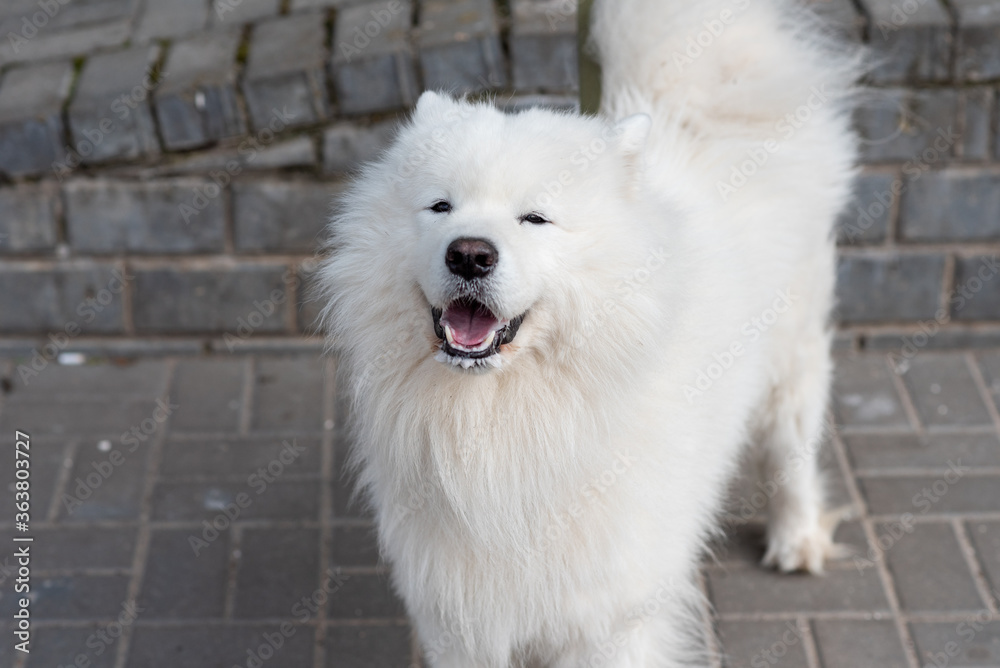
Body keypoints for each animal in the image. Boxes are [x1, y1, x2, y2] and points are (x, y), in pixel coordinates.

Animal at [318, 1, 860, 664]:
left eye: (535, 218)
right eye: (441, 207)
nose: (469, 254)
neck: (503, 416)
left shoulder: (604, 618)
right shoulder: (458, 617)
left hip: (793, 352)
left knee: (792, 444)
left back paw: (797, 537)